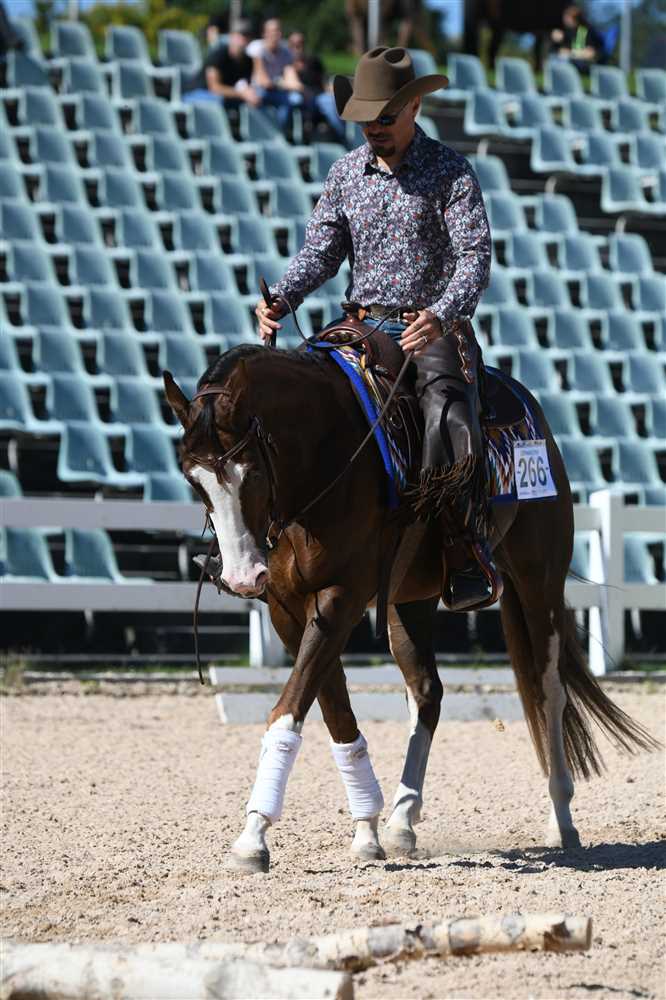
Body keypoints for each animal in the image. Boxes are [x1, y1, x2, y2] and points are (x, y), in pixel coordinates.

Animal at [163, 334, 657, 874]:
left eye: (250, 473)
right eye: (193, 480)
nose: (239, 576)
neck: (325, 458)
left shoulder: (341, 597)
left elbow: (289, 709)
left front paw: (253, 836)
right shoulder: (288, 609)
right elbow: (333, 710)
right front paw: (366, 830)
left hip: (538, 581)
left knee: (549, 691)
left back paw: (561, 820)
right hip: (410, 600)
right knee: (426, 692)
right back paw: (402, 819)